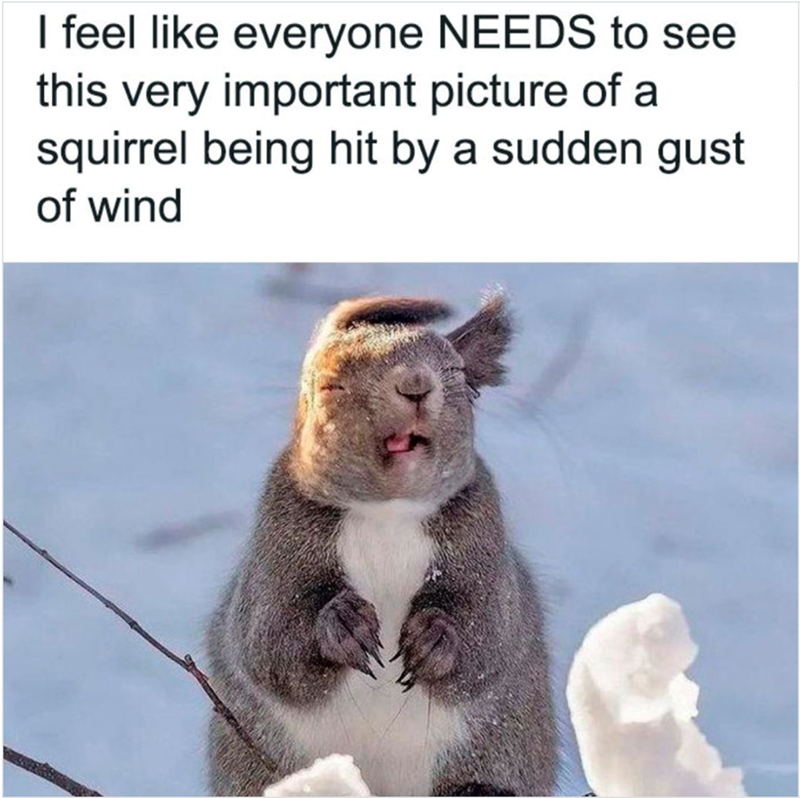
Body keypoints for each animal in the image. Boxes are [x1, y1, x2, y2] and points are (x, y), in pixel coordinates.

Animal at [206, 293, 557, 796]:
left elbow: (490, 636)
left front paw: (435, 636)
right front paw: (341, 624)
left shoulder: (483, 542)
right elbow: (268, 643)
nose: (415, 385)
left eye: (455, 372)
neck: (388, 514)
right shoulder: (277, 541)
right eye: (329, 385)